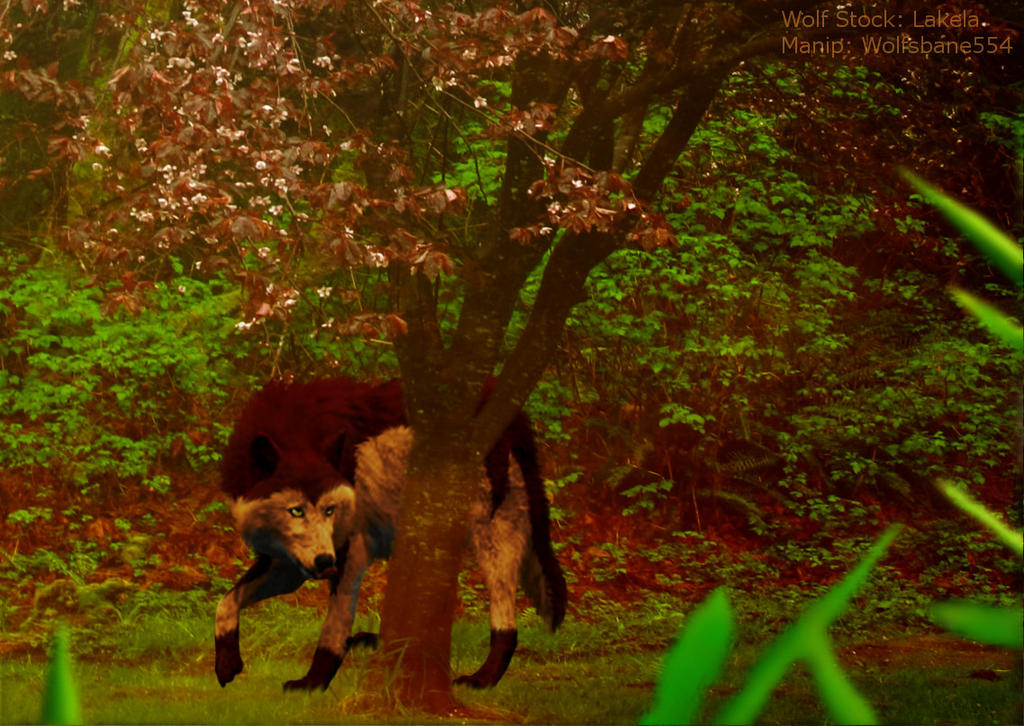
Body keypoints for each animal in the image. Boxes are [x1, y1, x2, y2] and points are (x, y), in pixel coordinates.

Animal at [216, 378, 569, 692]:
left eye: (330, 510)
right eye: (296, 511)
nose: (326, 562)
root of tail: (511, 413)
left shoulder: (349, 552)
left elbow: (332, 628)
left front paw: (312, 684)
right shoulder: (292, 564)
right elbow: (226, 601)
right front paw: (226, 663)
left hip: (490, 539)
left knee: (505, 624)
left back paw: (481, 679)